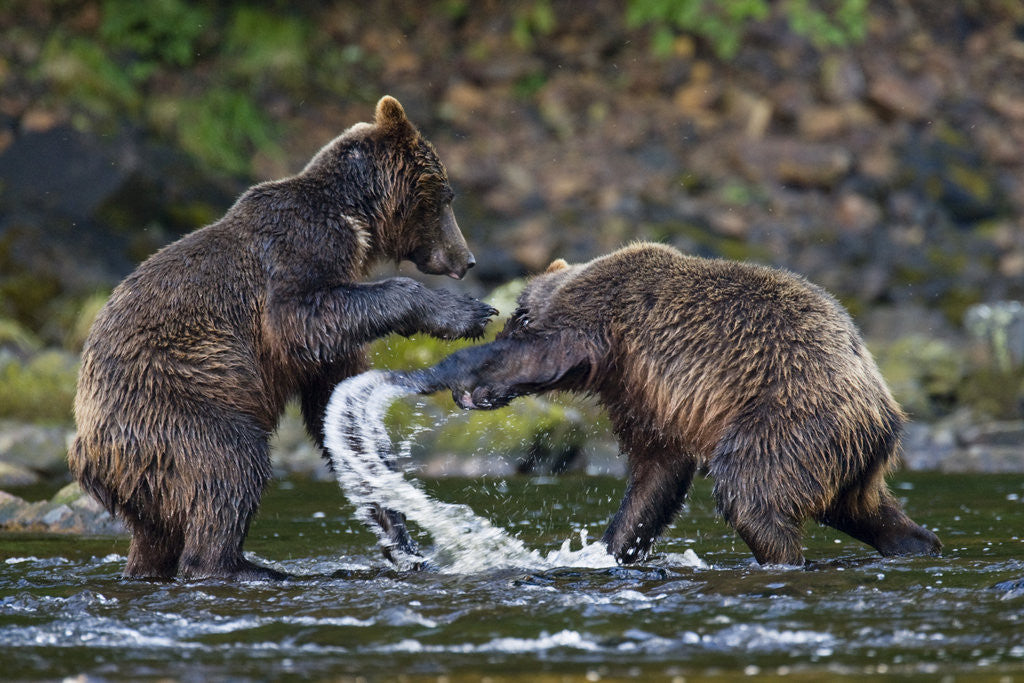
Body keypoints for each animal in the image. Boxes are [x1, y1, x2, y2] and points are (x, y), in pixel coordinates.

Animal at [69, 96, 496, 581]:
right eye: (446, 198)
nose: (467, 259)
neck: (355, 222)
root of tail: (89, 456)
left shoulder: (327, 349)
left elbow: (334, 404)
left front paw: (400, 536)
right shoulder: (300, 251)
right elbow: (298, 318)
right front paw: (465, 312)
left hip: (146, 477)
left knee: (157, 532)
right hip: (173, 406)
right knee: (230, 464)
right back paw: (241, 566)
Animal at [397, 242, 942, 566]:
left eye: (516, 319)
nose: (506, 321)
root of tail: (886, 412)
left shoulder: (609, 324)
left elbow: (550, 352)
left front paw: (468, 377)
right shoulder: (643, 399)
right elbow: (656, 475)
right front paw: (614, 547)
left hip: (788, 416)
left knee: (752, 493)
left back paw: (779, 554)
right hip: (838, 456)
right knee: (861, 508)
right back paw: (916, 542)